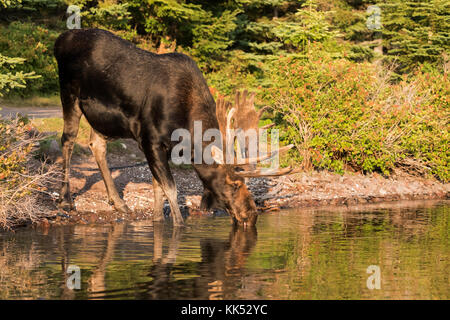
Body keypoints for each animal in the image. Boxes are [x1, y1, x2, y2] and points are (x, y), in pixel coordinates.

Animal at [53, 28, 292, 228]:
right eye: (233, 184)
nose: (251, 215)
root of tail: (60, 39)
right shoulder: (150, 140)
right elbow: (171, 188)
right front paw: (179, 226)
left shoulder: (166, 146)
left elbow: (158, 188)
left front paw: (157, 220)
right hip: (69, 93)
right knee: (68, 140)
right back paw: (65, 200)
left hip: (102, 118)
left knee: (96, 144)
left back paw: (119, 202)